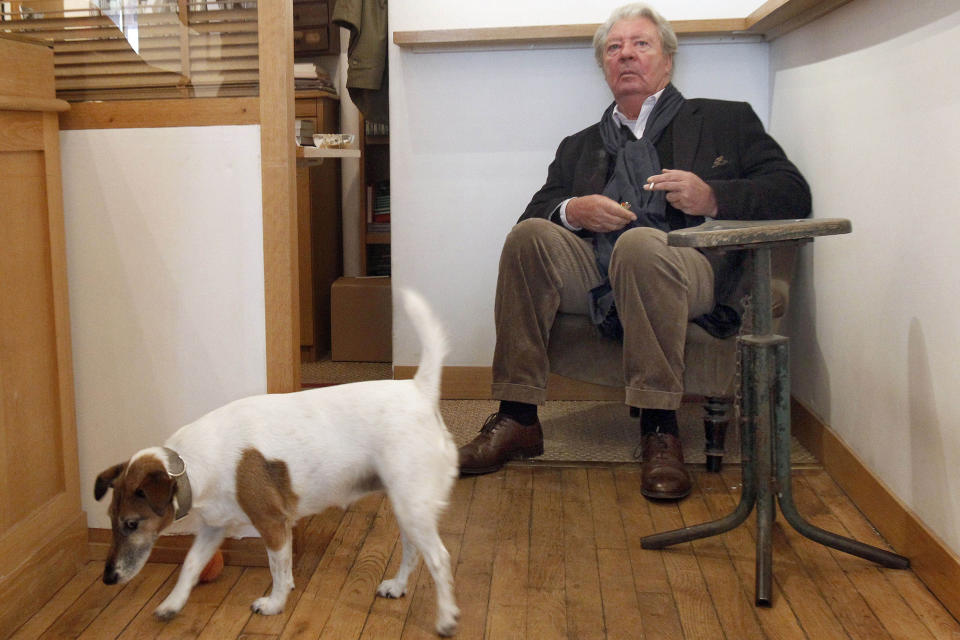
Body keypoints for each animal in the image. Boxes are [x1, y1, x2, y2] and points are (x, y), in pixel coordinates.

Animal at [94, 288, 462, 636]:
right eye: (111, 518)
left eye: (131, 523)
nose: (108, 578)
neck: (191, 464)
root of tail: (420, 391)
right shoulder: (213, 528)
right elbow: (190, 566)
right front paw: (172, 604)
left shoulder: (271, 523)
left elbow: (278, 569)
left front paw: (274, 604)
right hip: (405, 506)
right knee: (413, 551)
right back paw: (398, 587)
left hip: (412, 506)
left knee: (440, 559)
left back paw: (446, 618)